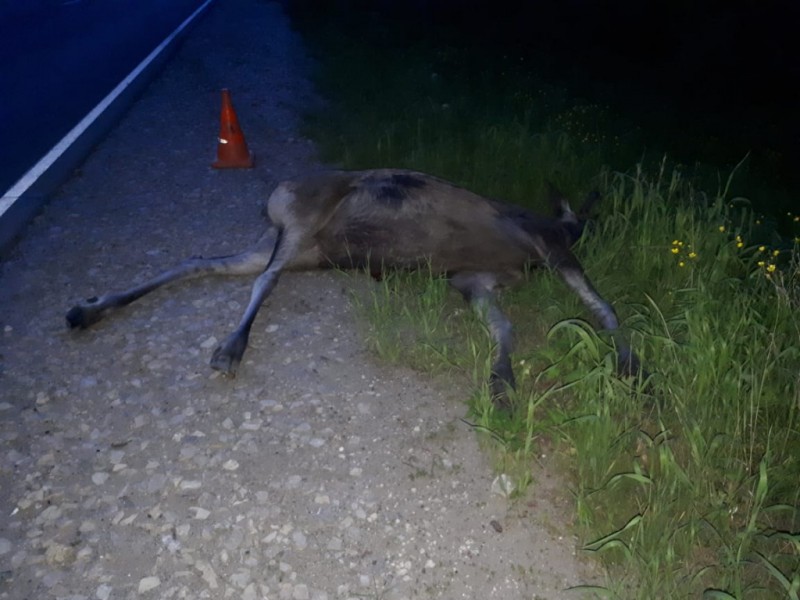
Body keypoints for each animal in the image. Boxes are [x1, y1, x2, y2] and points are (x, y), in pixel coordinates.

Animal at [70, 169, 644, 404]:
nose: (577, 220)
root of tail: (274, 196)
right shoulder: (553, 249)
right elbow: (605, 309)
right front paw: (635, 368)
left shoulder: (472, 280)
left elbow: (504, 331)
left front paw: (501, 383)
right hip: (305, 219)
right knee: (263, 278)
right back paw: (231, 347)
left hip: (294, 244)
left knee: (202, 262)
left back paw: (90, 308)